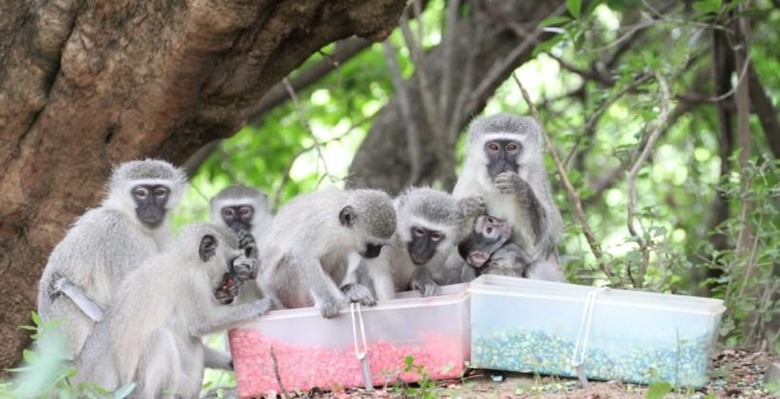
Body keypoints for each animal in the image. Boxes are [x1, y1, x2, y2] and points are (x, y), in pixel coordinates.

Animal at [71, 223, 272, 398]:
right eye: (231, 264)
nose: (233, 285)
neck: (187, 260)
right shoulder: (191, 281)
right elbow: (203, 323)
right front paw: (262, 306)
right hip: (133, 388)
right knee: (162, 339)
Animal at [260, 190, 400, 318]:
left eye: (381, 246)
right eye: (372, 245)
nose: (376, 253)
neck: (343, 231)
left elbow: (378, 272)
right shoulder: (321, 226)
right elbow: (304, 253)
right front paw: (327, 301)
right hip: (283, 287)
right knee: (292, 260)